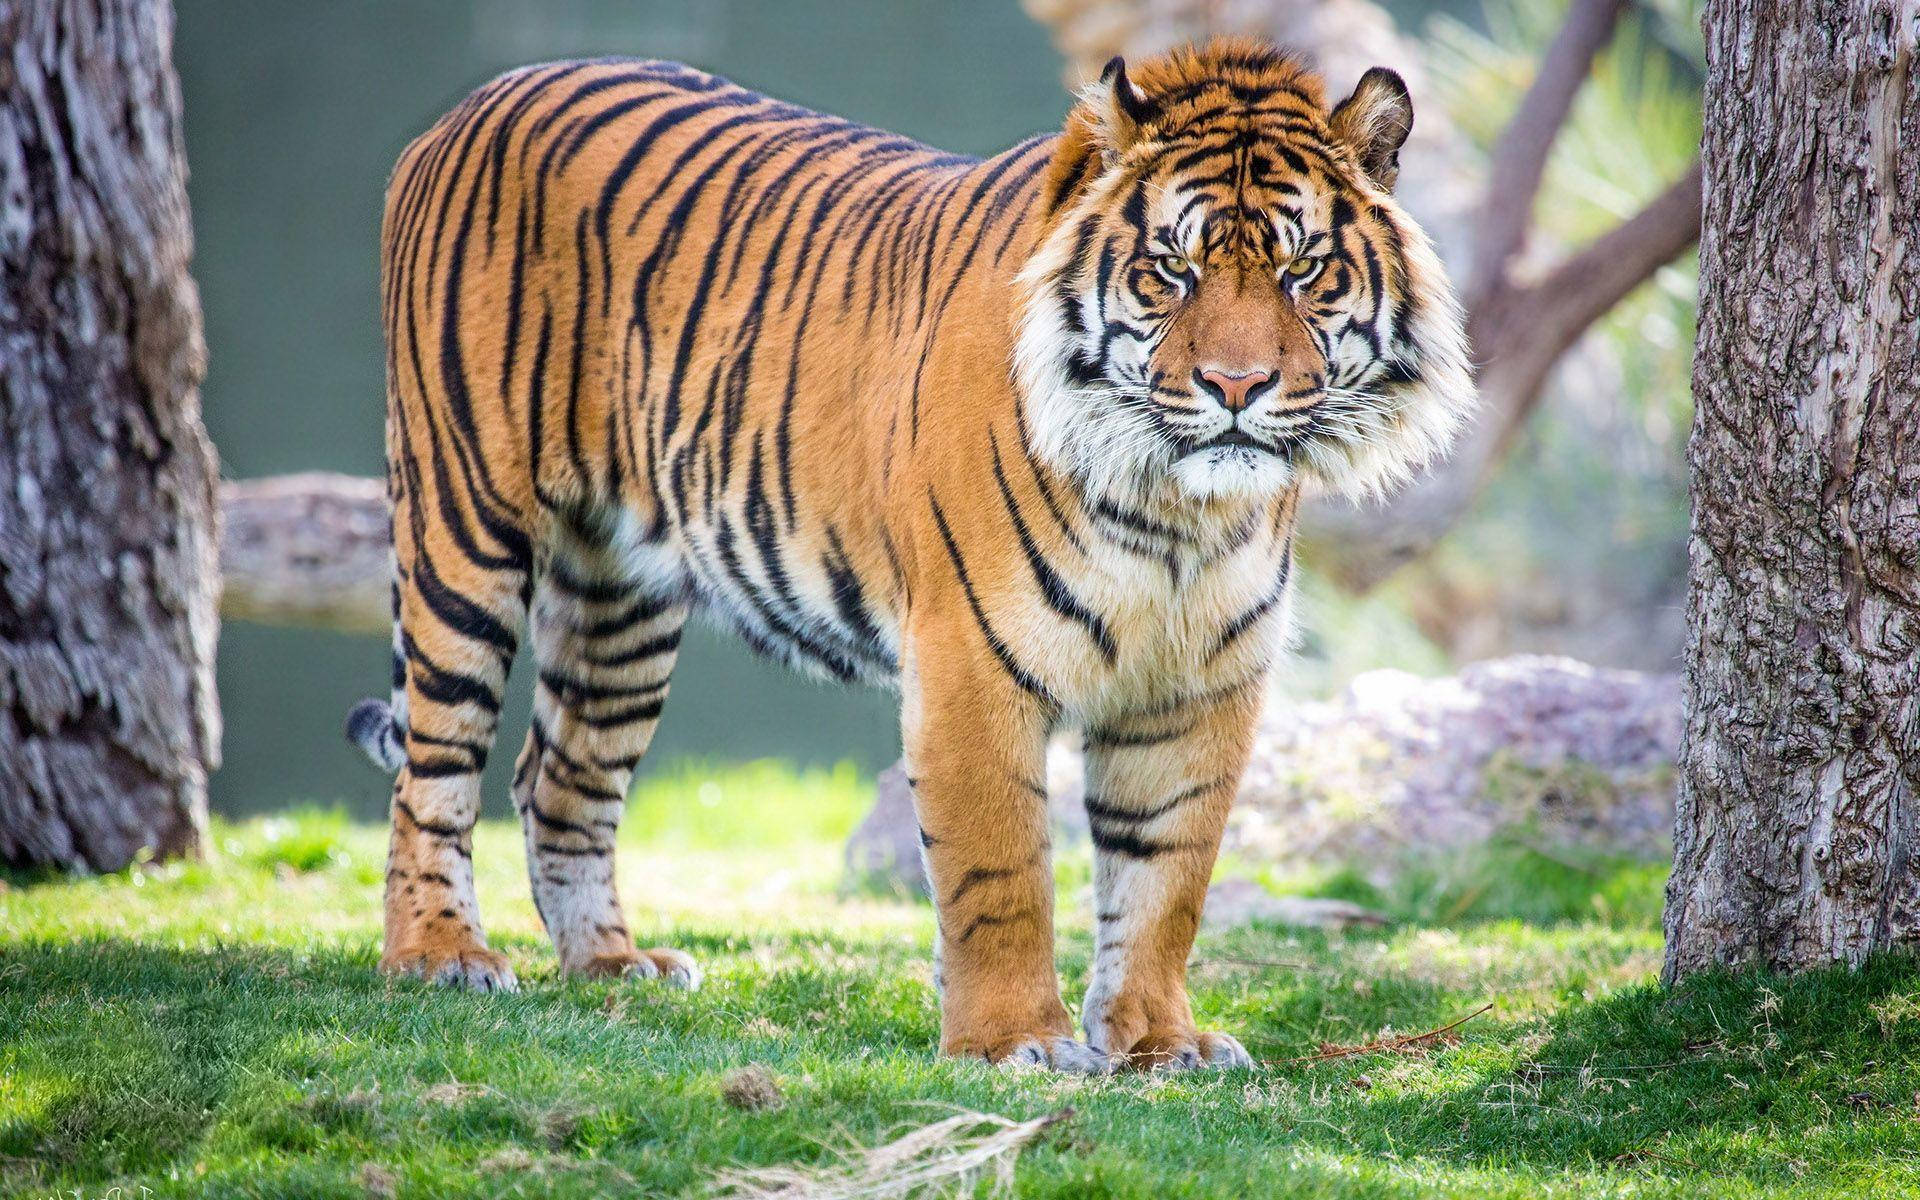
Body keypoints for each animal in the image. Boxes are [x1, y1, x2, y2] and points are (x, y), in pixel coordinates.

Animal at [346, 37, 1470, 1072]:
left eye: (1302, 270)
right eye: (1171, 271)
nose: (1236, 387)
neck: (1178, 513)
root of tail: (486, 96)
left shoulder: (1199, 686)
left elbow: (1166, 880)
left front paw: (1159, 1041)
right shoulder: (973, 659)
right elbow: (1001, 869)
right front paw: (1016, 1043)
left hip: (619, 595)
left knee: (559, 775)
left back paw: (613, 965)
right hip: (465, 526)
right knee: (437, 768)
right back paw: (440, 956)